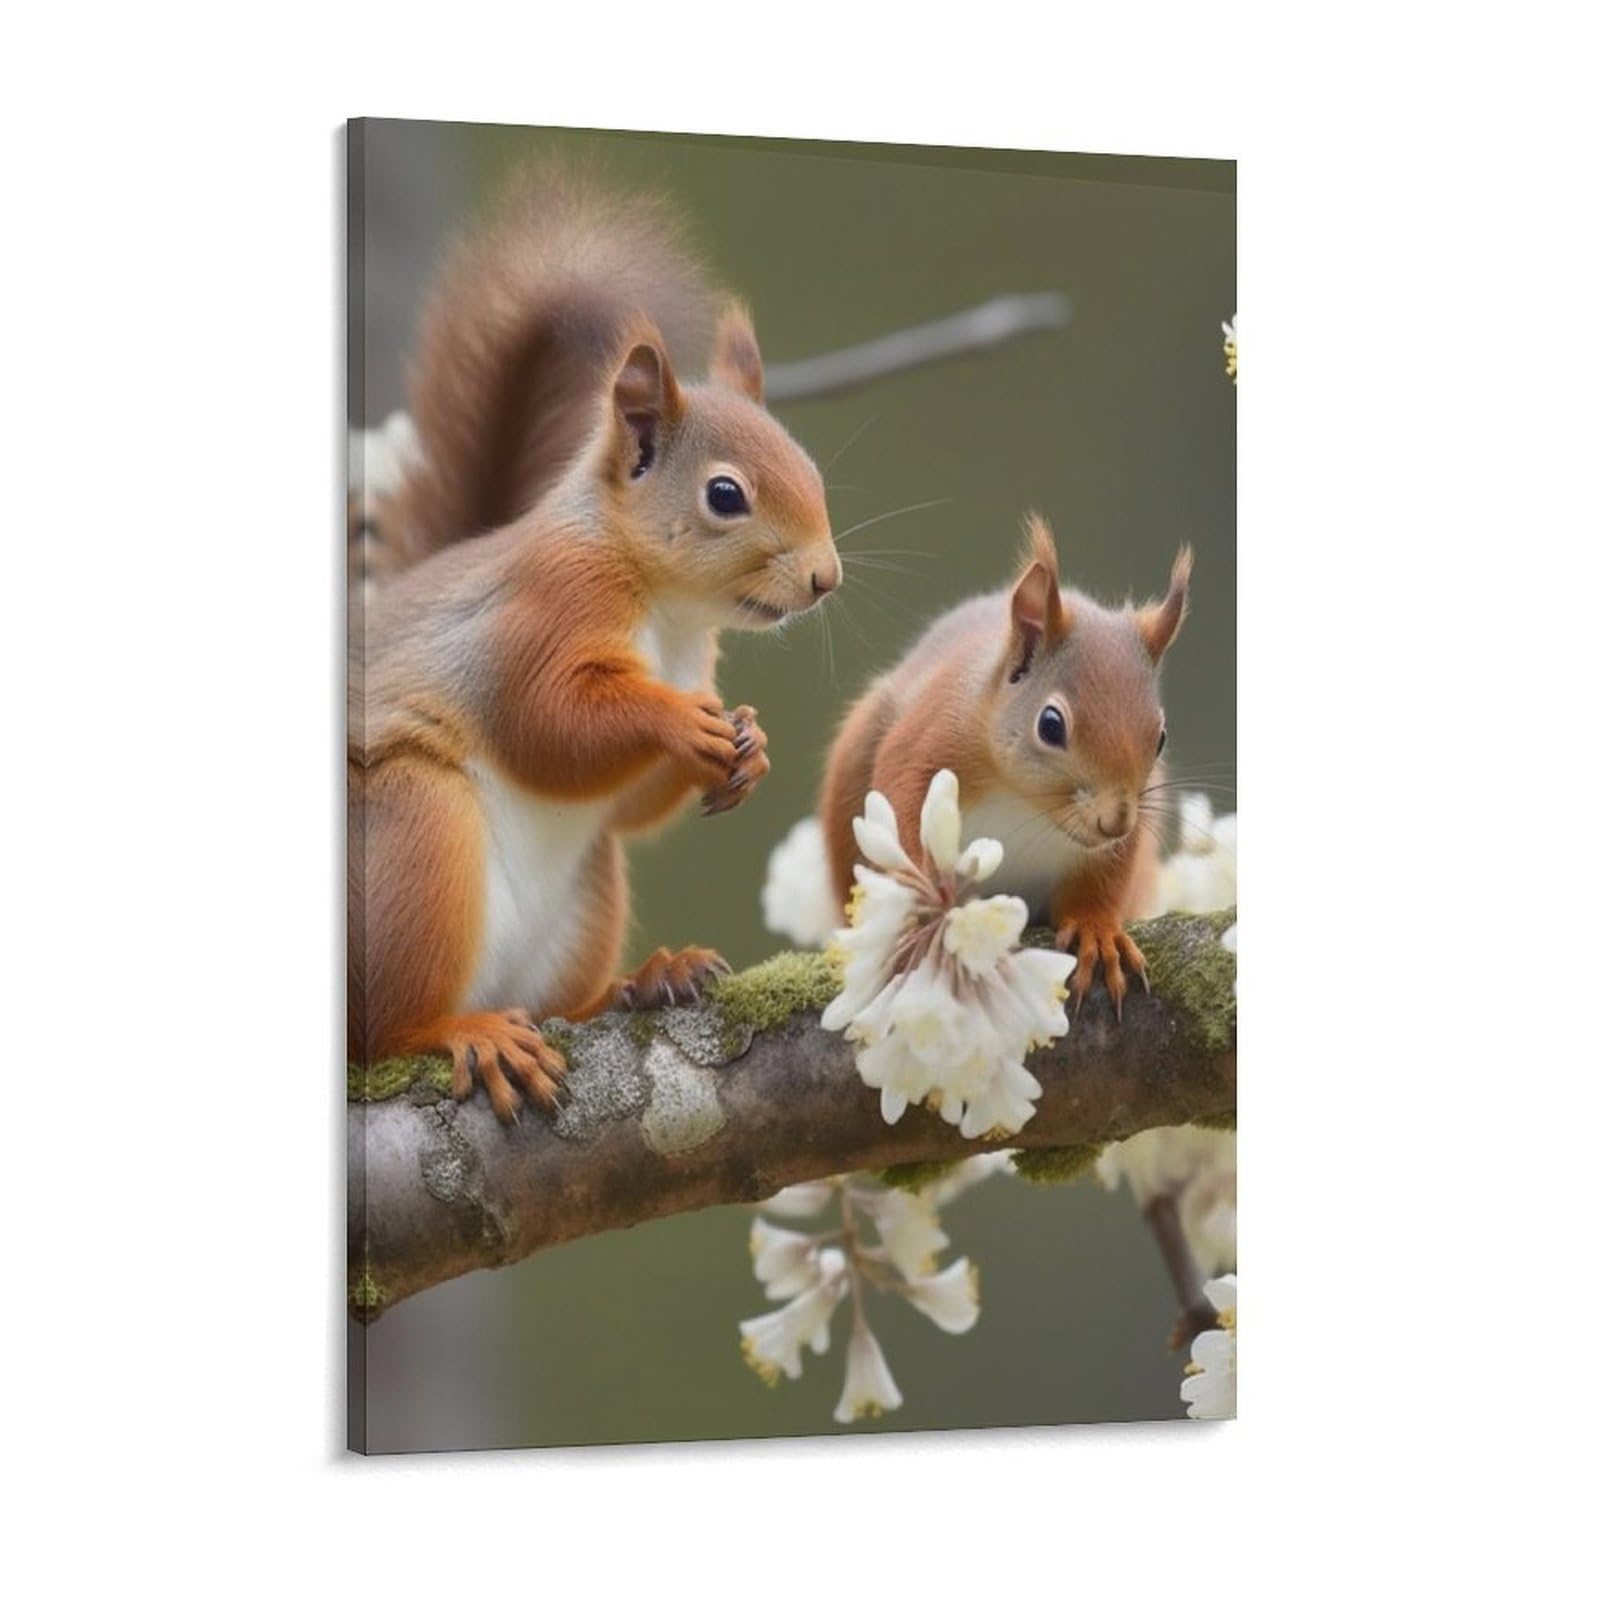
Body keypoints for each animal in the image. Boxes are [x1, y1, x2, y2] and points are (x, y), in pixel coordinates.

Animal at [351, 172, 841, 1120]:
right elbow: (544, 723)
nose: (824, 578)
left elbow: (627, 804)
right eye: (725, 495)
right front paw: (678, 724)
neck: (669, 613)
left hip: (584, 897)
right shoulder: (543, 610)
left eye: (814, 470)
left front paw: (748, 742)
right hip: (412, 833)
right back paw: (461, 1031)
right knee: (382, 1031)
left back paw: (641, 982)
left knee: (559, 991)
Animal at [818, 514, 1190, 1015]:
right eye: (1051, 725)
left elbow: (1104, 881)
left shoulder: (1124, 837)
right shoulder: (930, 737)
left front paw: (1097, 931)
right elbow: (901, 801)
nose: (1115, 822)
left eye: (1161, 737)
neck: (1024, 801)